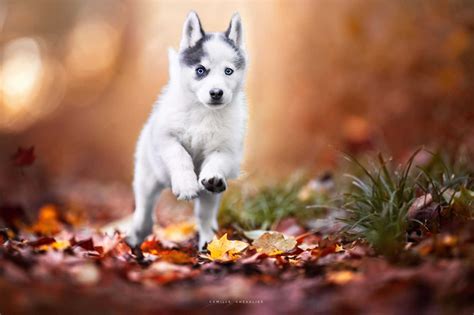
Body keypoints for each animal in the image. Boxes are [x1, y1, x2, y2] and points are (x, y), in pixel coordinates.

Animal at [128, 11, 250, 251]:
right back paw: (138, 232)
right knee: (144, 209)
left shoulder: (226, 149)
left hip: (209, 198)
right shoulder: (166, 138)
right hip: (147, 178)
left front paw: (211, 177)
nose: (216, 93)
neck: (204, 113)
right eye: (200, 70)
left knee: (204, 214)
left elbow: (216, 162)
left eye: (228, 71)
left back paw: (209, 241)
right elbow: (180, 155)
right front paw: (185, 184)